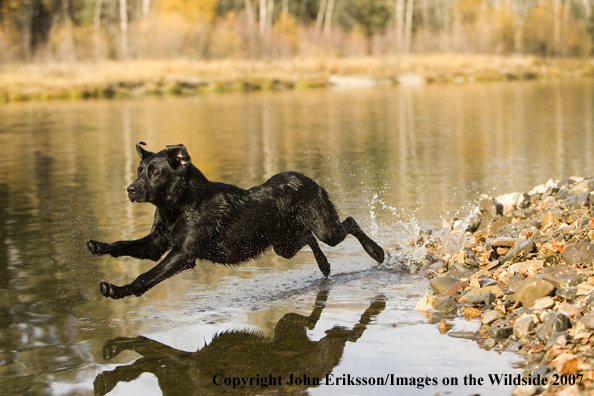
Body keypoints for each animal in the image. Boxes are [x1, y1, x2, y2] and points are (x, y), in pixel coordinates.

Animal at [88, 143, 384, 300]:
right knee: (307, 236)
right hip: (283, 245)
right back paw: (324, 265)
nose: (130, 189)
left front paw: (117, 290)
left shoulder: (183, 253)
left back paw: (377, 252)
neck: (179, 205)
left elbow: (144, 277)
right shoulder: (156, 244)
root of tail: (304, 176)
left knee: (349, 221)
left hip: (326, 228)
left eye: (155, 172)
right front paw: (99, 246)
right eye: (139, 170)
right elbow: (123, 244)